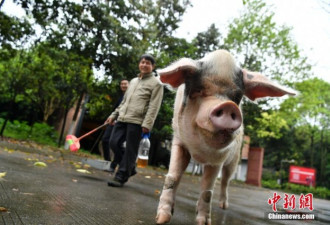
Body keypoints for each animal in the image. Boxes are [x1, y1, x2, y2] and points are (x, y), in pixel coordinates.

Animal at [156, 49, 296, 225]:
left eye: (237, 97)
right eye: (199, 89)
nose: (228, 106)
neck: (200, 151)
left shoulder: (219, 159)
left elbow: (207, 189)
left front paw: (203, 222)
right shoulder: (179, 141)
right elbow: (173, 177)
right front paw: (162, 219)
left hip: (234, 160)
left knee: (225, 181)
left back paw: (223, 206)